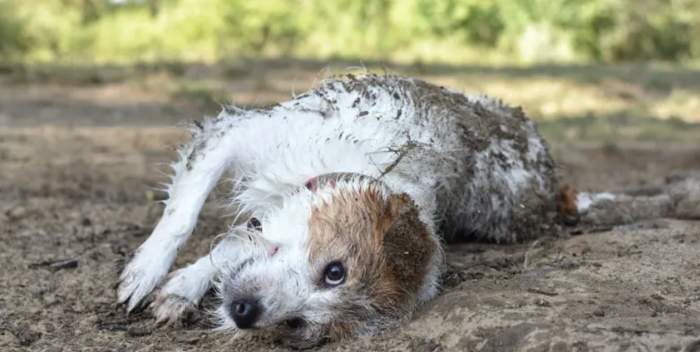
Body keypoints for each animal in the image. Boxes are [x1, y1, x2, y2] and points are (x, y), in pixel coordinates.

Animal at [116, 72, 700, 344]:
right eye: (335, 270)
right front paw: (148, 273)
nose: (245, 313)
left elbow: (230, 248)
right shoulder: (235, 134)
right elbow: (184, 216)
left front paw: (181, 288)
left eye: (305, 323)